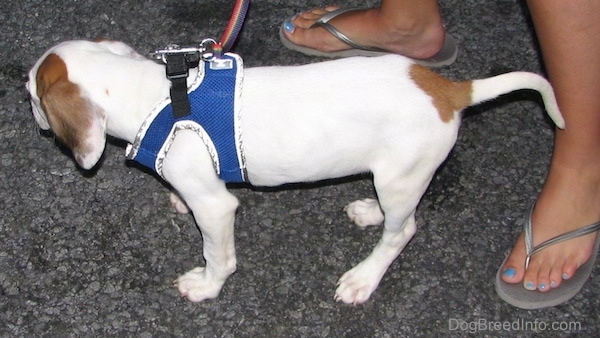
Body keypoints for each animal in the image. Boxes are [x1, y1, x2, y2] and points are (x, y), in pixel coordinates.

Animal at [25, 40, 564, 306]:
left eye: (31, 95)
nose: (32, 118)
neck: (158, 95)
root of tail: (448, 90)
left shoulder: (217, 208)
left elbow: (217, 255)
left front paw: (207, 286)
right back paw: (369, 212)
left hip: (402, 179)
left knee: (403, 231)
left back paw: (364, 278)